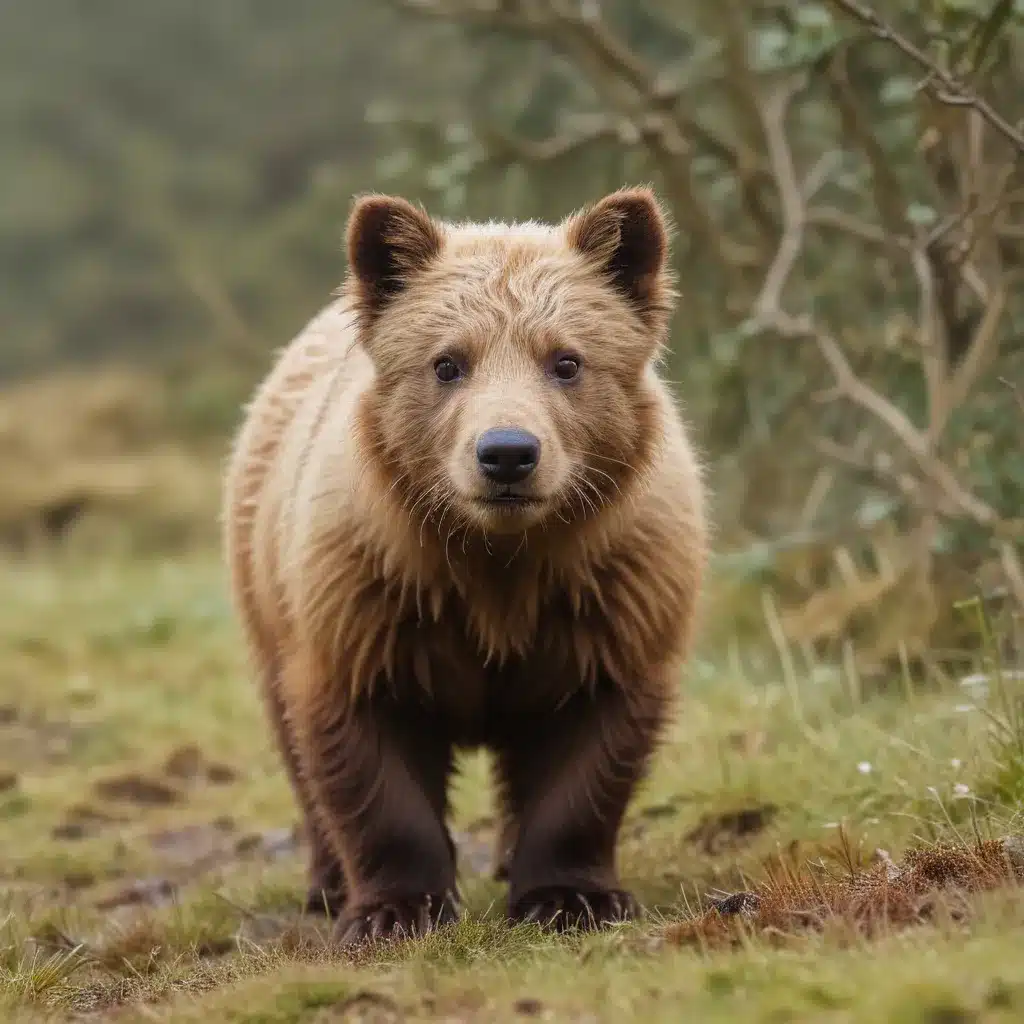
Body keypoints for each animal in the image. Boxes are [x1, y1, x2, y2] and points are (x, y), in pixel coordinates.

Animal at [222, 186, 704, 942]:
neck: (496, 559)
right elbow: (363, 757)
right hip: (263, 578)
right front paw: (395, 909)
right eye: (447, 362)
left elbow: (592, 751)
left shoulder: (609, 597)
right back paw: (327, 882)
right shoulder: (370, 600)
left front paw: (570, 897)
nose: (507, 453)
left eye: (566, 360)